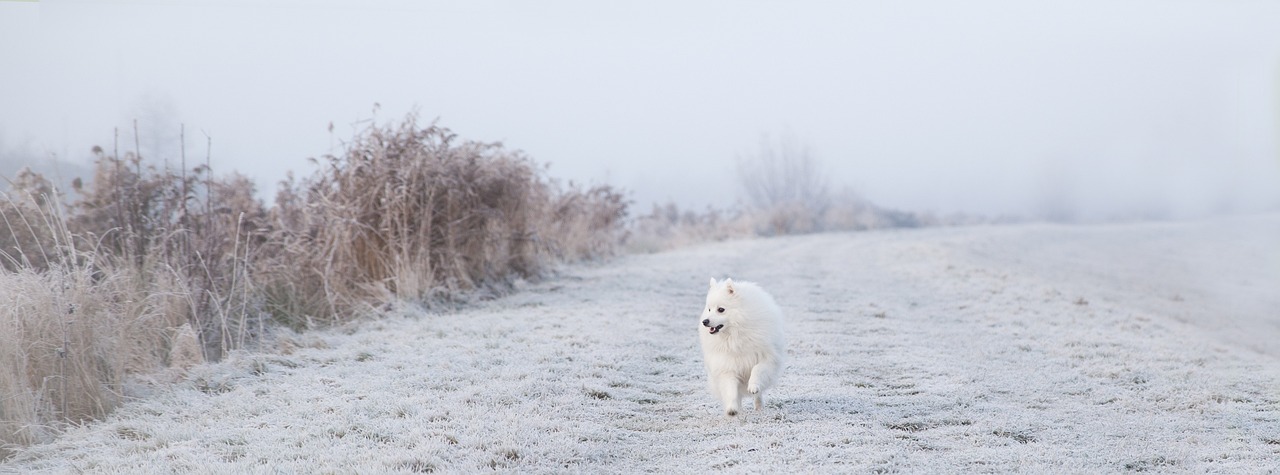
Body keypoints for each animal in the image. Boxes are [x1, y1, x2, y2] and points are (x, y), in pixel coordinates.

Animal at [696, 279, 783, 417]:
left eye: (721, 309)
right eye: (709, 309)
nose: (705, 321)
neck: (735, 334)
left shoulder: (766, 358)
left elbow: (757, 370)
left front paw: (753, 386)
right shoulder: (727, 366)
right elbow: (731, 390)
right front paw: (732, 409)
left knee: (758, 395)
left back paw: (759, 406)